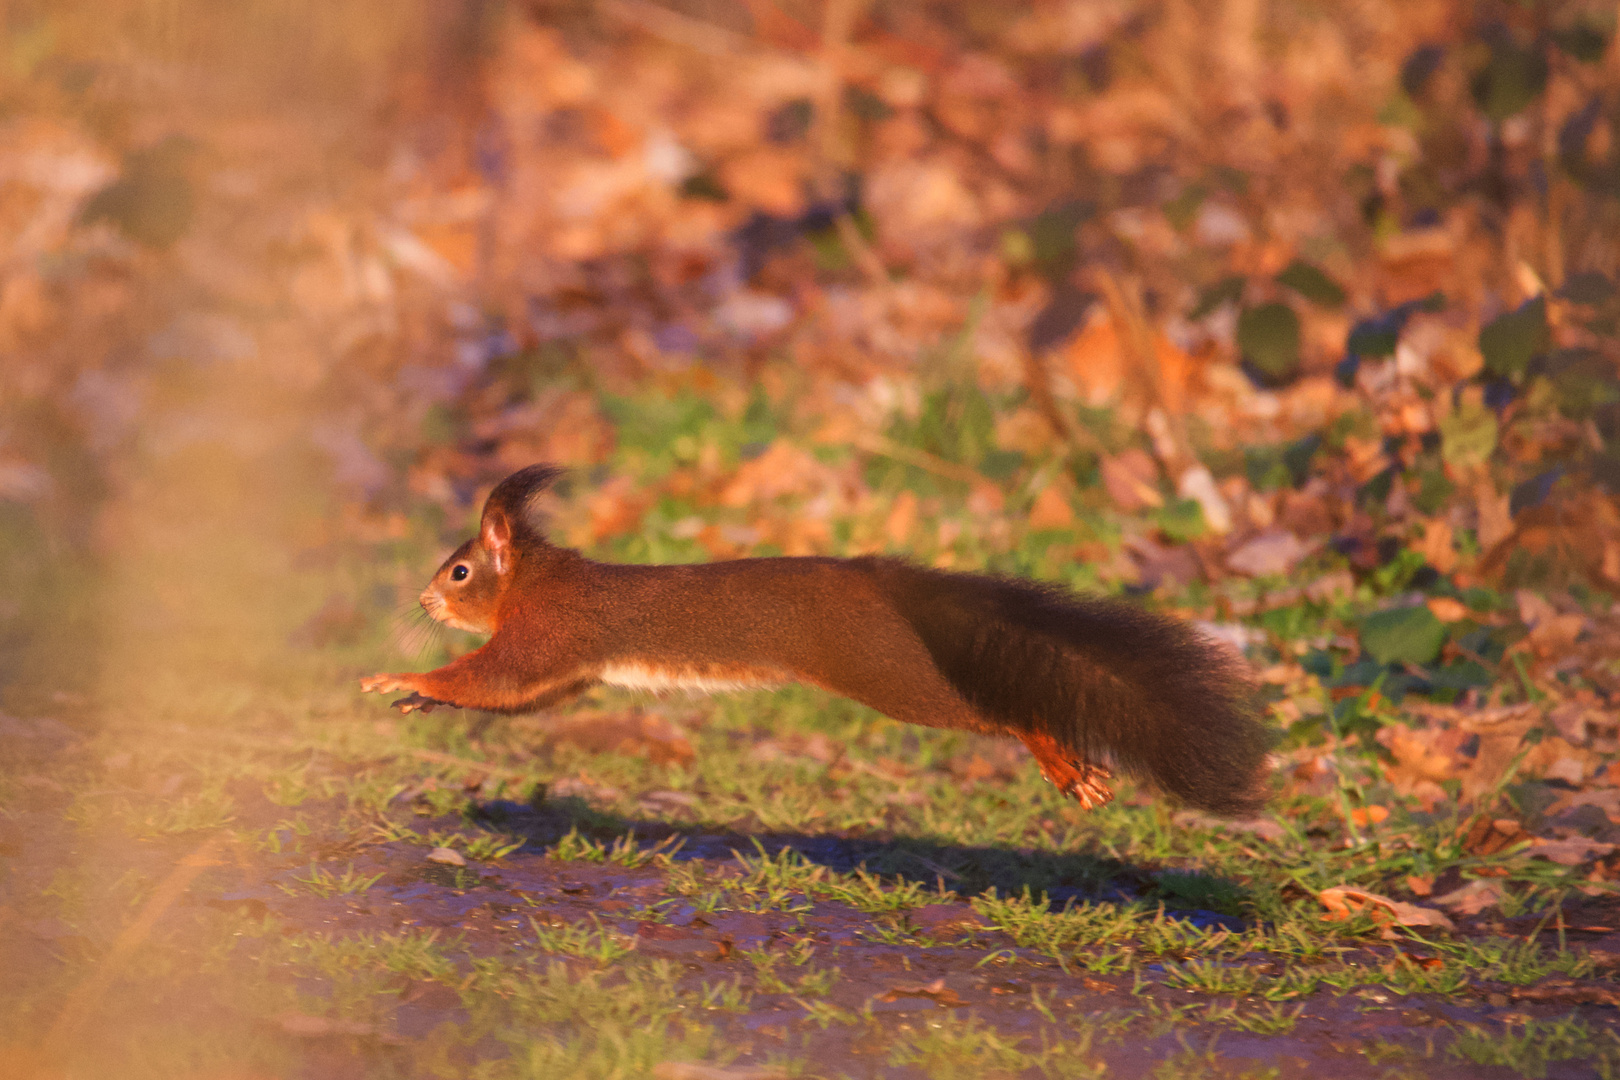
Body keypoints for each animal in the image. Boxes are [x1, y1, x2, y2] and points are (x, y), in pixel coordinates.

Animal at [361, 463, 1270, 809]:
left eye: (459, 572)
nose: (421, 598)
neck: (535, 579)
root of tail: (880, 581)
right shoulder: (574, 669)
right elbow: (519, 698)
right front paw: (417, 700)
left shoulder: (550, 632)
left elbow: (497, 676)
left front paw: (402, 681)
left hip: (891, 671)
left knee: (998, 709)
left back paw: (1062, 762)